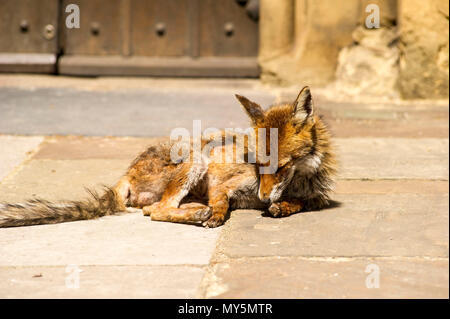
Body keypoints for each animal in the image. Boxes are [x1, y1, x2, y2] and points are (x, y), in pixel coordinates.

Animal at [0, 86, 336, 229]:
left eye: (281, 166)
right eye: (257, 163)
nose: (264, 199)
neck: (299, 180)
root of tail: (125, 173)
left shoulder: (317, 198)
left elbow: (301, 203)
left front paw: (282, 207)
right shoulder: (221, 183)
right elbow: (221, 204)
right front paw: (217, 216)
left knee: (157, 209)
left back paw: (195, 210)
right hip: (195, 159)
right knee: (157, 211)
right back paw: (198, 214)